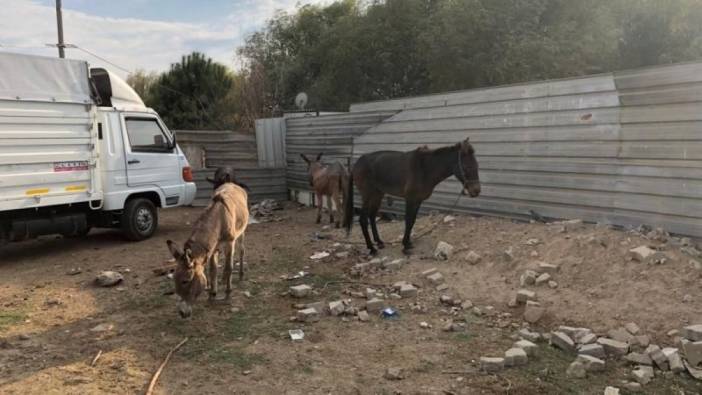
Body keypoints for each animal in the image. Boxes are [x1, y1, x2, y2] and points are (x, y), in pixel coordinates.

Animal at [344, 139, 482, 255]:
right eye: (467, 167)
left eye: (477, 166)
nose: (476, 191)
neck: (425, 169)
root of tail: (356, 164)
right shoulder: (410, 199)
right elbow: (408, 220)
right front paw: (405, 246)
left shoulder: (418, 200)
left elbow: (413, 220)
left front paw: (409, 242)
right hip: (368, 195)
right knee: (363, 219)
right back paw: (371, 248)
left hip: (378, 194)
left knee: (372, 216)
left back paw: (379, 242)